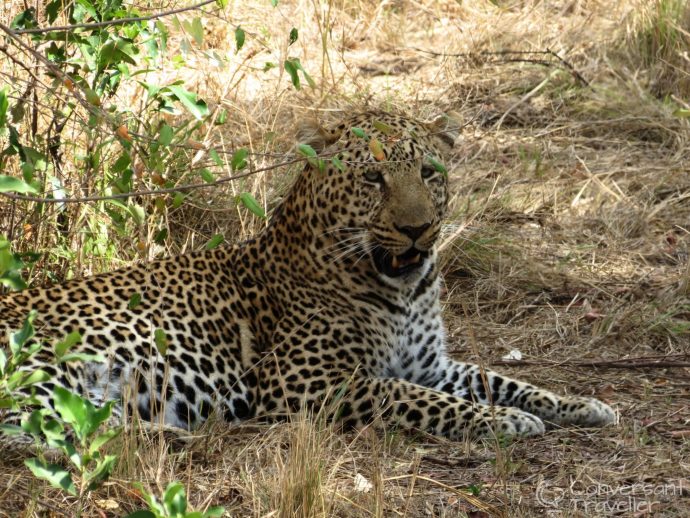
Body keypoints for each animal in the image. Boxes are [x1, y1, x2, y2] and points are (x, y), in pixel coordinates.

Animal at [0, 110, 612, 442]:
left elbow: (503, 379)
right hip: (69, 356)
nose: (418, 229)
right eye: (373, 179)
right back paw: (175, 433)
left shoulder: (431, 364)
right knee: (42, 431)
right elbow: (409, 397)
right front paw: (507, 421)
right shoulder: (306, 381)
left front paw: (581, 406)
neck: (404, 291)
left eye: (429, 173)